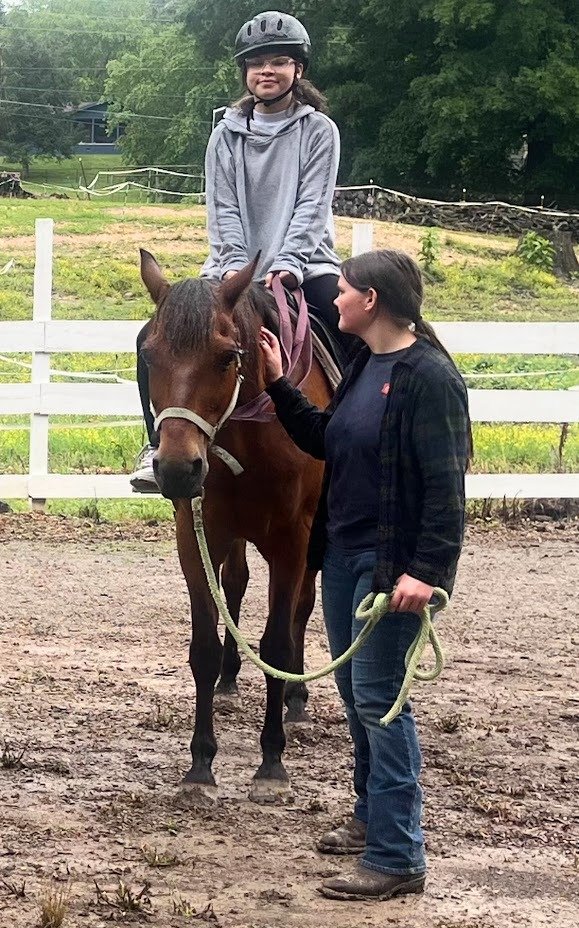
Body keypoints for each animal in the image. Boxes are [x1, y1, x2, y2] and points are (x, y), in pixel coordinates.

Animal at [139, 250, 333, 803]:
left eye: (227, 357)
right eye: (148, 355)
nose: (177, 468)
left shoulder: (293, 541)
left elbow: (277, 643)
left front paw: (271, 764)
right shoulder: (194, 535)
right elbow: (203, 646)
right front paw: (201, 764)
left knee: (300, 611)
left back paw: (297, 697)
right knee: (237, 583)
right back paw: (229, 683)